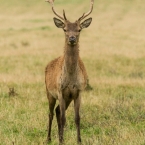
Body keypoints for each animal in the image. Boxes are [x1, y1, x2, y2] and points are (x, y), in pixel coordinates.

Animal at [44, 0, 93, 144]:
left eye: (79, 29)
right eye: (65, 29)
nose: (72, 38)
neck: (71, 79)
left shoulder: (78, 91)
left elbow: (77, 118)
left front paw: (79, 140)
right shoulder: (60, 90)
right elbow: (64, 118)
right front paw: (61, 141)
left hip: (67, 98)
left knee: (57, 111)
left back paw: (60, 136)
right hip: (49, 92)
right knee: (51, 113)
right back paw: (49, 138)